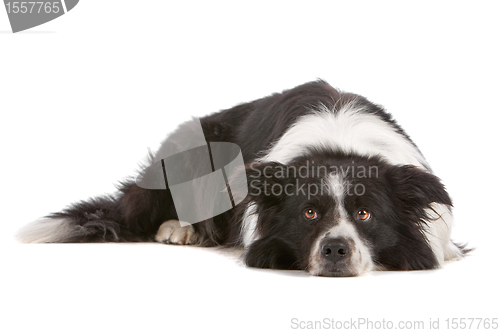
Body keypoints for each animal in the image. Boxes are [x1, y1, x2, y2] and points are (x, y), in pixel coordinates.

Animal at [16, 80, 468, 274]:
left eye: (364, 214)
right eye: (308, 213)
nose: (335, 250)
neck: (339, 144)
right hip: (189, 147)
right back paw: (179, 228)